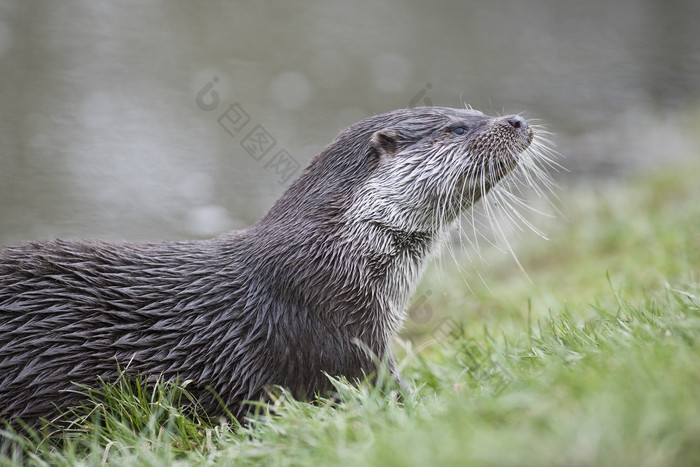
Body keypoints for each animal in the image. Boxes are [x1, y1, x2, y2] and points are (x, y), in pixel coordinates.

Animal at [0, 108, 548, 426]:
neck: (333, 257)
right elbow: (382, 391)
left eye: (474, 110)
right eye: (458, 128)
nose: (518, 120)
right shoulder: (336, 335)